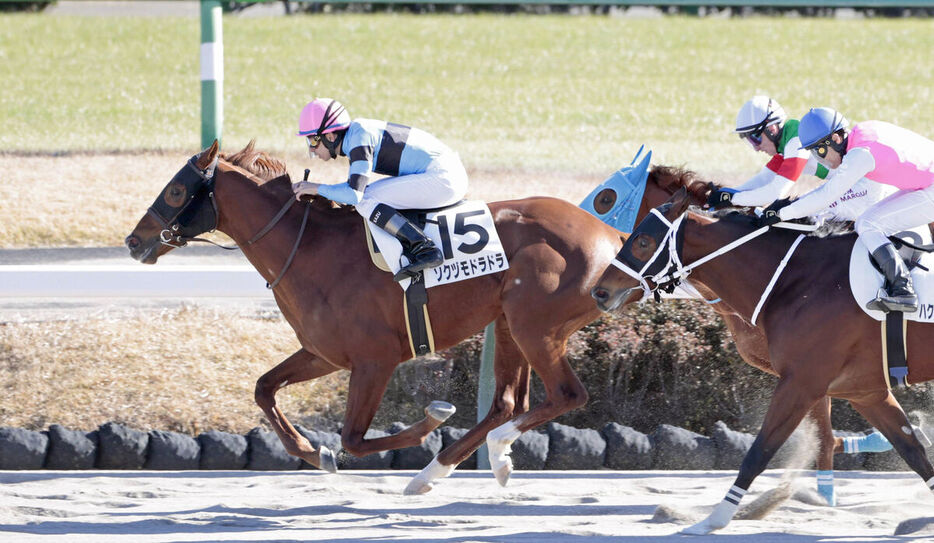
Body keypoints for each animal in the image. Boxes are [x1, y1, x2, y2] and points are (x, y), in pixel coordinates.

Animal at [126, 140, 620, 492]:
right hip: (508, 323)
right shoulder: (323, 353)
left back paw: (470, 458)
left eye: (175, 190)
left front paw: (431, 420)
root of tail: (611, 236)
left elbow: (353, 438)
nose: (134, 241)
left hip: (535, 325)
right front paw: (314, 453)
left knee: (566, 394)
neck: (310, 248)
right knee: (506, 403)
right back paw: (448, 472)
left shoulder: (374, 361)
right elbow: (264, 388)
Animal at [592, 188, 934, 536]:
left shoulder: (800, 385)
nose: (600, 292)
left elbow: (759, 452)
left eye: (643, 241)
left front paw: (714, 520)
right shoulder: (865, 393)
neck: (797, 279)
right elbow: (913, 451)